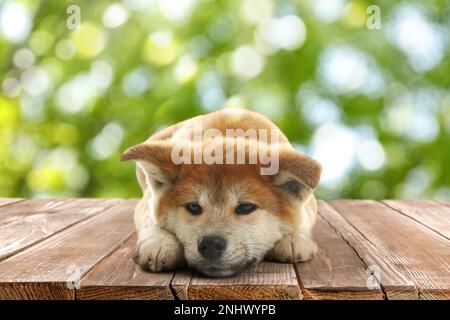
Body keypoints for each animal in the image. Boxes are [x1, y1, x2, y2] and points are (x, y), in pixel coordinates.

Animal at [121, 109, 322, 276]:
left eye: (246, 207)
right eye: (193, 207)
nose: (210, 244)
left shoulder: (310, 203)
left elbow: (304, 217)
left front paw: (294, 239)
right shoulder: (147, 201)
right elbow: (150, 218)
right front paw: (160, 243)